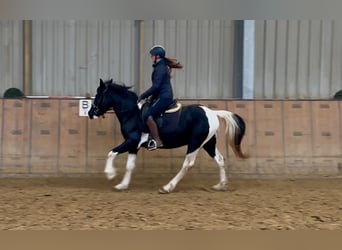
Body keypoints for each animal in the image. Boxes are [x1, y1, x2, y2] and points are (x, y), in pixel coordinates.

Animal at [88, 79, 247, 194]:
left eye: (99, 94)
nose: (90, 113)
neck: (132, 113)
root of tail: (212, 113)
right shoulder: (134, 145)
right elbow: (129, 165)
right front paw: (122, 185)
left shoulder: (131, 140)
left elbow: (111, 152)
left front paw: (110, 174)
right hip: (208, 143)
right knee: (220, 159)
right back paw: (221, 185)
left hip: (195, 143)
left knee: (187, 164)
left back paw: (167, 187)